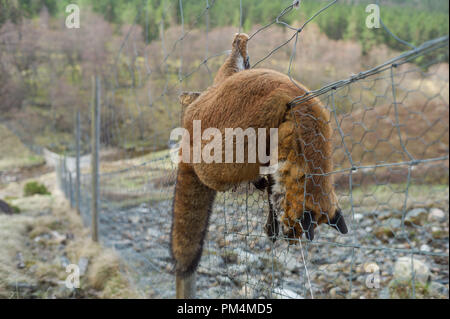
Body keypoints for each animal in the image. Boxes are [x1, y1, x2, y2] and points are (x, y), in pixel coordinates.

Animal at [171, 33, 346, 278]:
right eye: (298, 228)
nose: (292, 242)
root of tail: (189, 119)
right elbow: (272, 192)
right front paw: (271, 227)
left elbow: (272, 191)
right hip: (225, 161)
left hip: (220, 90)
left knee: (226, 68)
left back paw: (239, 46)